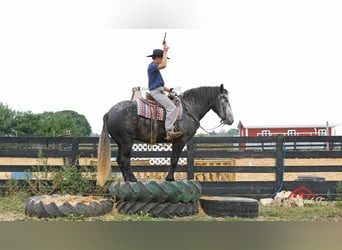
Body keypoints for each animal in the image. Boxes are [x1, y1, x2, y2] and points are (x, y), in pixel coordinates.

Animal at [97, 84, 234, 186]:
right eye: (225, 99)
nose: (231, 120)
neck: (189, 108)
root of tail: (109, 113)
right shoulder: (180, 140)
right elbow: (174, 159)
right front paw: (170, 178)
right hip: (127, 142)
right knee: (125, 160)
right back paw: (133, 180)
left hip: (121, 143)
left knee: (120, 160)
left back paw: (127, 180)